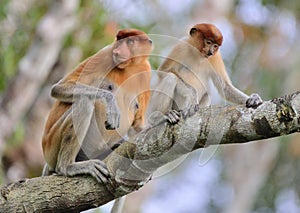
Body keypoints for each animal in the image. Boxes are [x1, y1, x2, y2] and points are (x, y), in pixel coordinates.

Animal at [41, 28, 152, 188]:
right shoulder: (104, 54)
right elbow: (58, 88)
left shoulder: (146, 71)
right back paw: (68, 167)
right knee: (84, 102)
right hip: (51, 145)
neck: (129, 67)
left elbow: (137, 124)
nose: (117, 51)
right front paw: (111, 102)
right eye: (119, 40)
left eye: (130, 41)